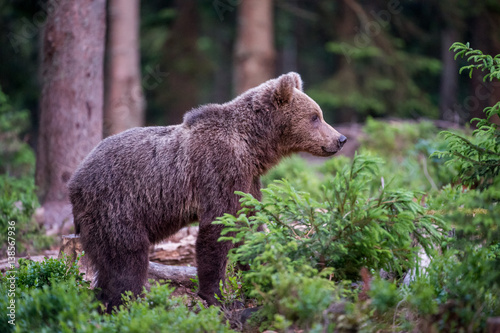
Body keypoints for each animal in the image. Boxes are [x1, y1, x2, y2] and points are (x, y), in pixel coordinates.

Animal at [68, 71, 346, 310]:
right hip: (118, 207)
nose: (340, 139)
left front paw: (266, 272)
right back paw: (127, 303)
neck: (253, 147)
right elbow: (217, 228)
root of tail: (75, 181)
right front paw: (217, 295)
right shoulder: (219, 169)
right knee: (127, 261)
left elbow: (250, 227)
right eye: (315, 116)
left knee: (108, 264)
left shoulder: (248, 181)